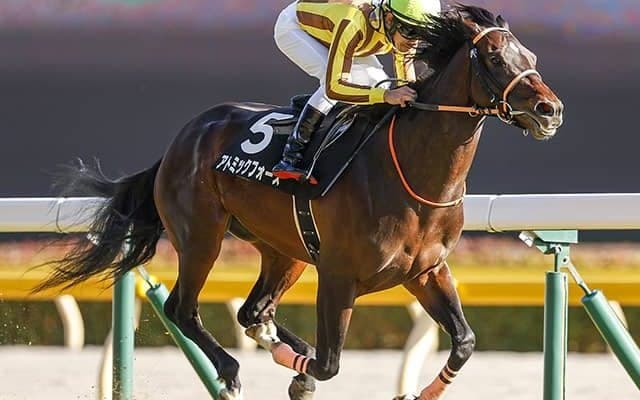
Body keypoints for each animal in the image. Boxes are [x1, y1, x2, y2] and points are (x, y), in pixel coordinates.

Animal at [36, 5, 563, 400]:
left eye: (531, 54)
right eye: (494, 58)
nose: (550, 110)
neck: (413, 175)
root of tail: (179, 141)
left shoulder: (427, 271)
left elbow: (465, 341)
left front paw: (420, 392)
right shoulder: (337, 275)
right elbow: (329, 363)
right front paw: (303, 375)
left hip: (283, 250)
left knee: (253, 312)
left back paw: (270, 338)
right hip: (201, 235)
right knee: (184, 309)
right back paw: (232, 372)